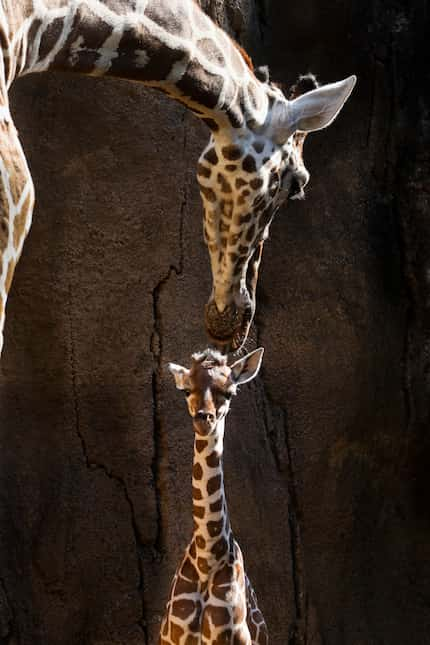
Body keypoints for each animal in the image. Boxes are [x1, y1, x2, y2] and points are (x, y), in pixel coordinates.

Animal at [163, 348, 268, 644]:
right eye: (187, 390)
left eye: (229, 392)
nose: (204, 418)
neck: (207, 555)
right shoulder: (173, 637)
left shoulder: (227, 636)